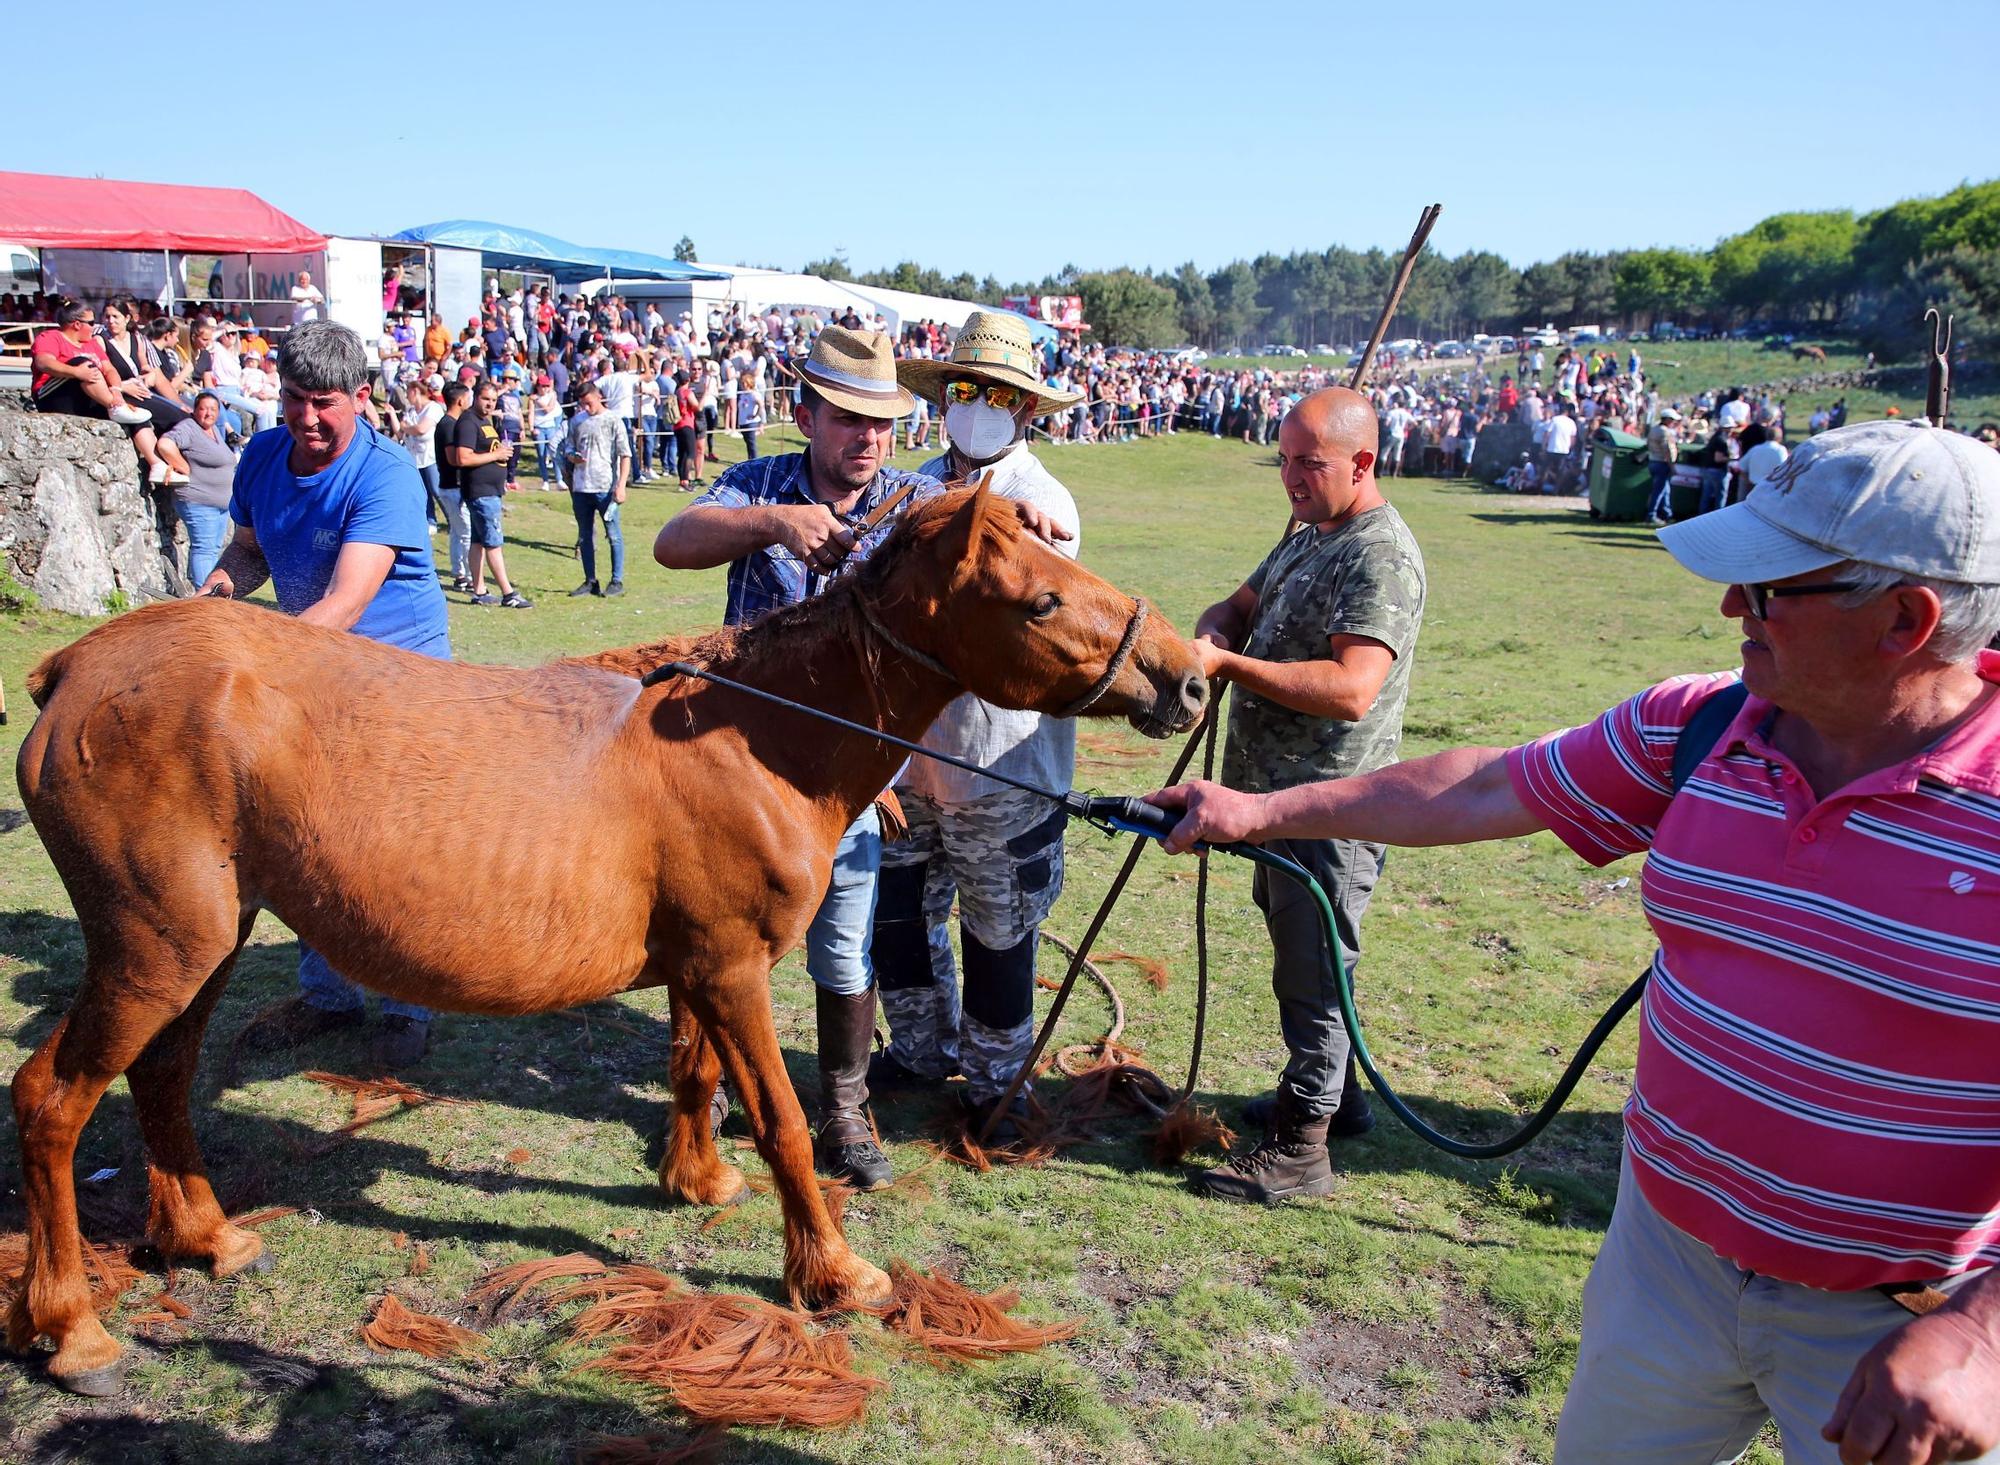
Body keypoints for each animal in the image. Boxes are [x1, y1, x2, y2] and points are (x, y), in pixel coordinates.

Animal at [11, 486, 1200, 1392]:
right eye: (1042, 596)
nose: (1187, 676)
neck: (755, 738)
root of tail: (74, 671)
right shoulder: (731, 967)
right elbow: (783, 1123)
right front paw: (835, 1272)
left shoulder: (699, 967)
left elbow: (693, 1071)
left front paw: (698, 1180)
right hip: (155, 953)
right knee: (53, 1100)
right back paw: (69, 1326)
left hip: (200, 952)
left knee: (162, 1077)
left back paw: (205, 1237)